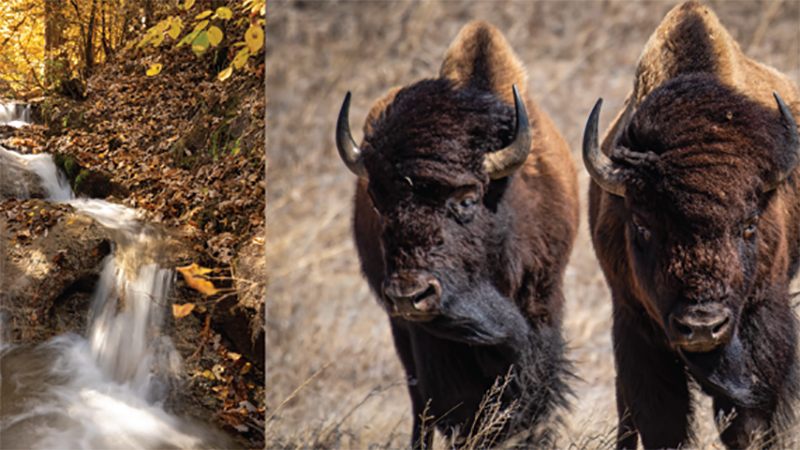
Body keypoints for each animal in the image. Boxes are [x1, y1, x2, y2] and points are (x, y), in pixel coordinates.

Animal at [337, 21, 579, 448]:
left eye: (467, 200)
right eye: (378, 201)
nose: (409, 293)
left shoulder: (541, 310)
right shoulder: (431, 340)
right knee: (421, 407)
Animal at [585, 2, 800, 448]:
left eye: (749, 225)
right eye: (642, 225)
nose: (702, 326)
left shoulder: (763, 317)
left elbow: (750, 419)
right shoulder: (634, 324)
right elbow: (661, 421)